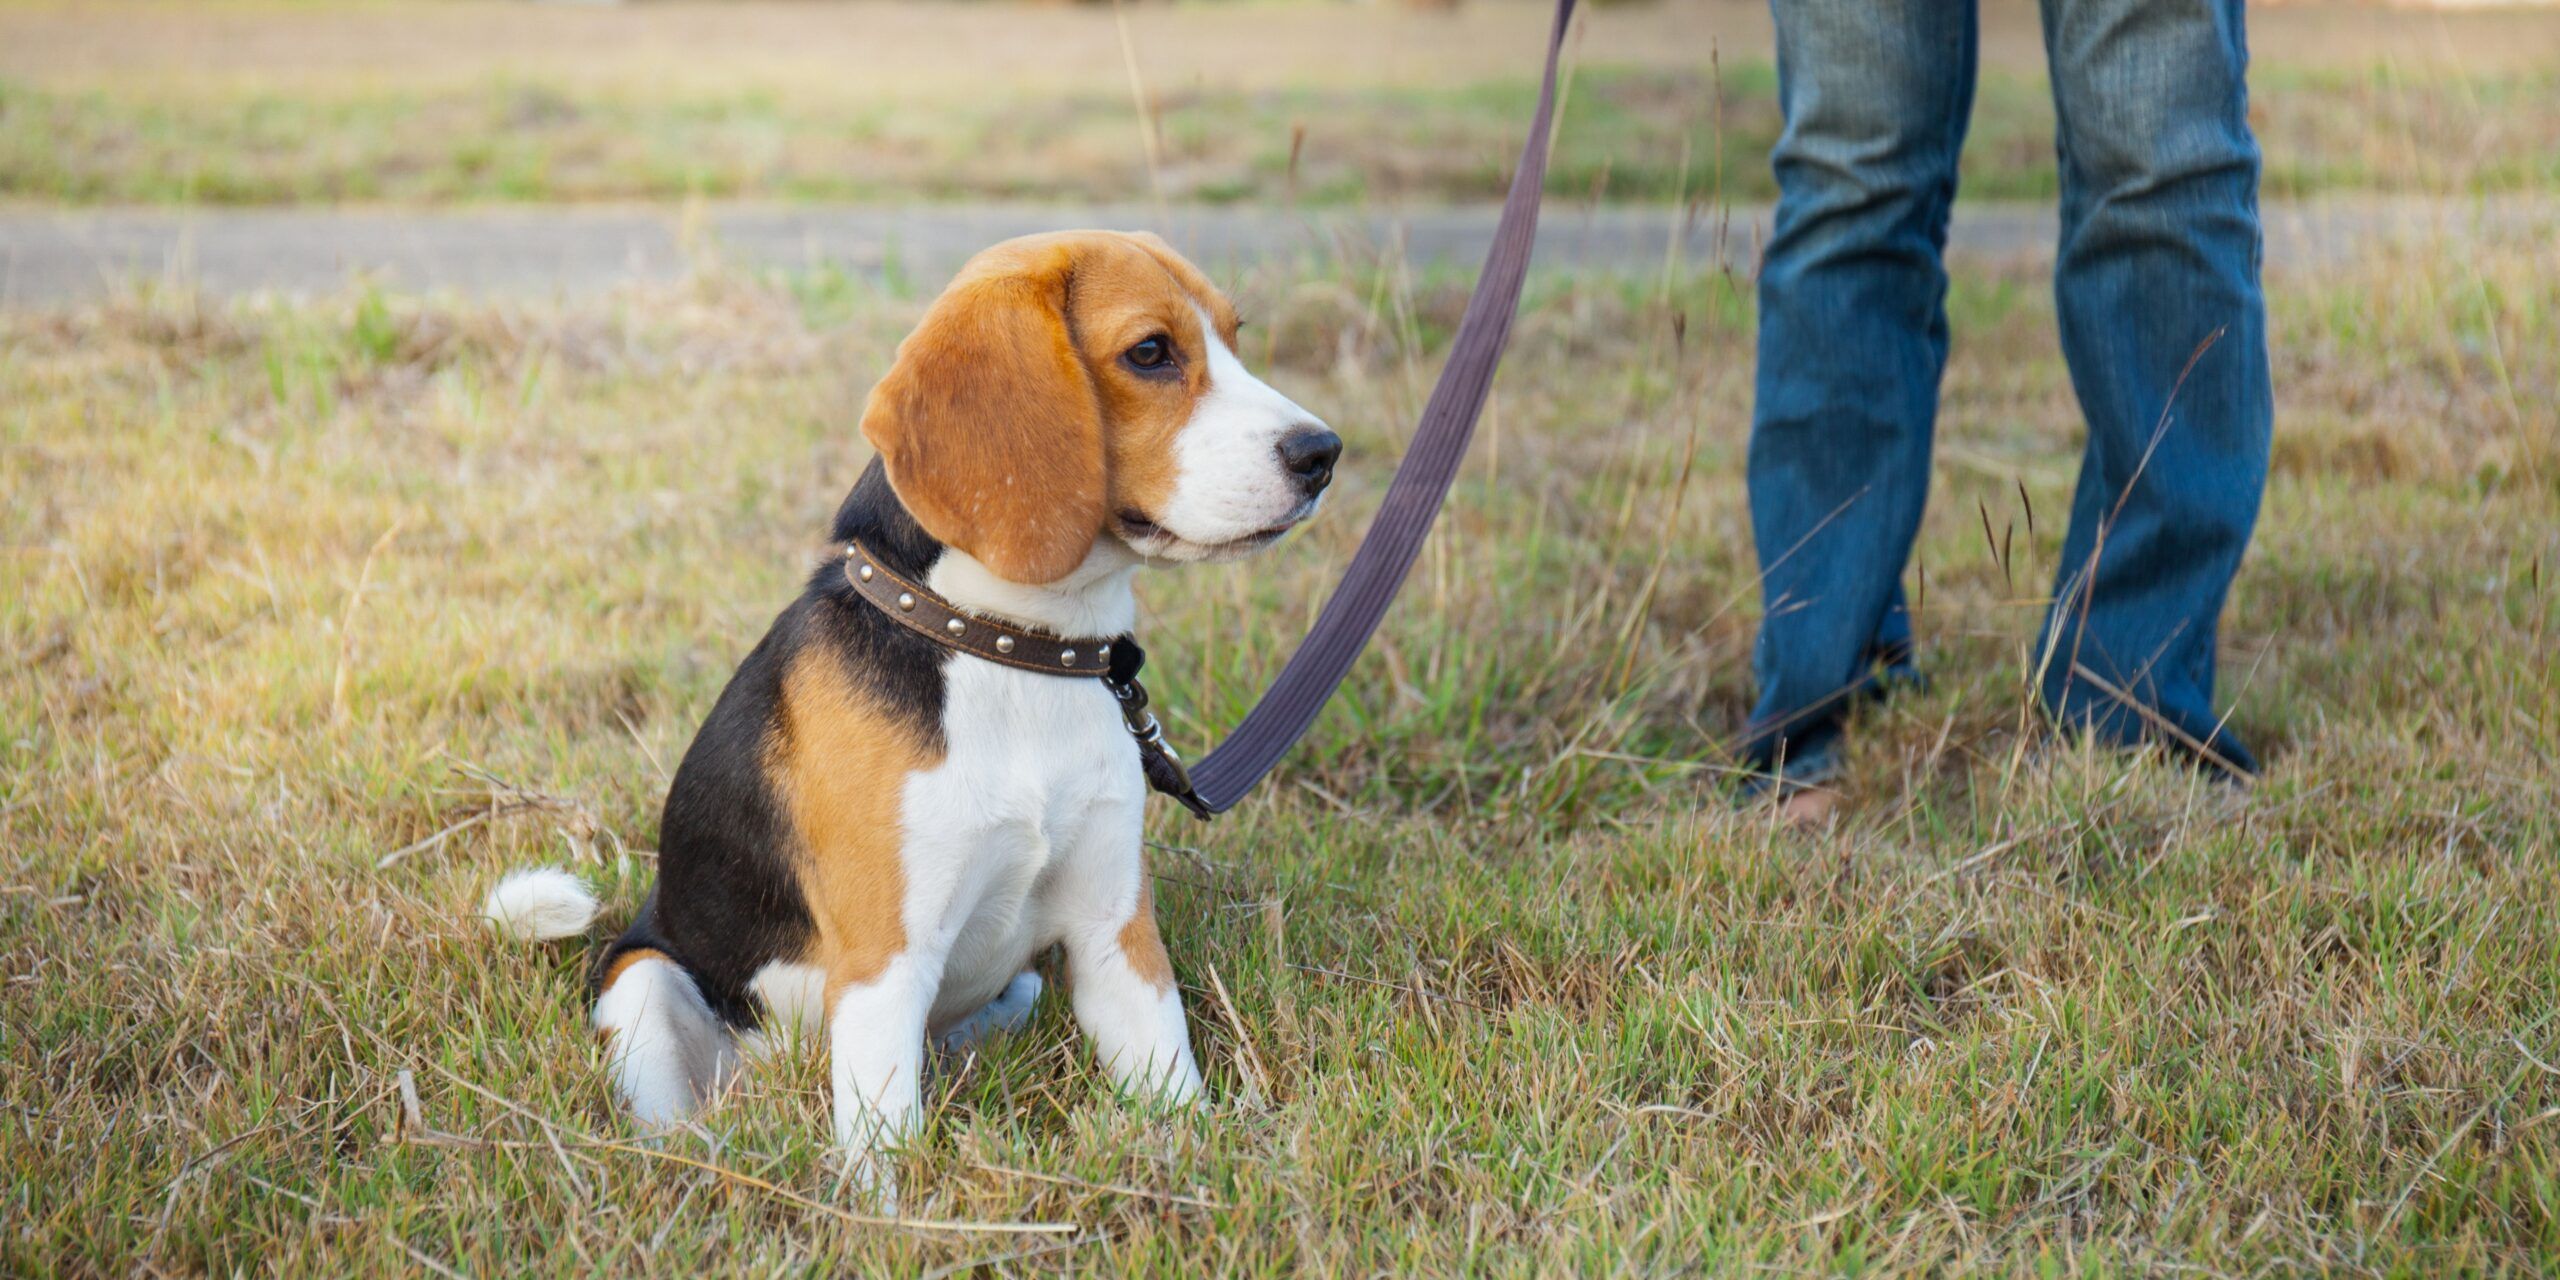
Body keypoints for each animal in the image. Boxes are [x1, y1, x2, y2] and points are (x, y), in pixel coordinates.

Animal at [488, 232, 1351, 1198]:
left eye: (1236, 337)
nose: (1323, 452)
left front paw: (1194, 1170)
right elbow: (884, 1155)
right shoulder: (885, 966)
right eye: (1152, 352)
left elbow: (1171, 1085)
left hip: (1018, 988)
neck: (1009, 647)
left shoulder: (1114, 933)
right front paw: (890, 1214)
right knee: (680, 1116)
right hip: (646, 982)